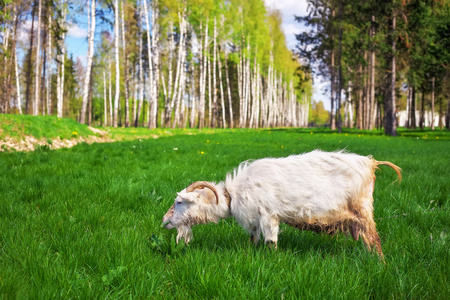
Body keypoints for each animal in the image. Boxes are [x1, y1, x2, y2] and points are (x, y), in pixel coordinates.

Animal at [162, 151, 400, 256]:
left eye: (179, 201)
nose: (164, 221)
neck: (234, 194)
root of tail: (371, 163)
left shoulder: (269, 216)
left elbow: (271, 242)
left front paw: (273, 260)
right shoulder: (255, 220)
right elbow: (253, 239)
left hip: (363, 210)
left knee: (375, 240)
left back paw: (380, 264)